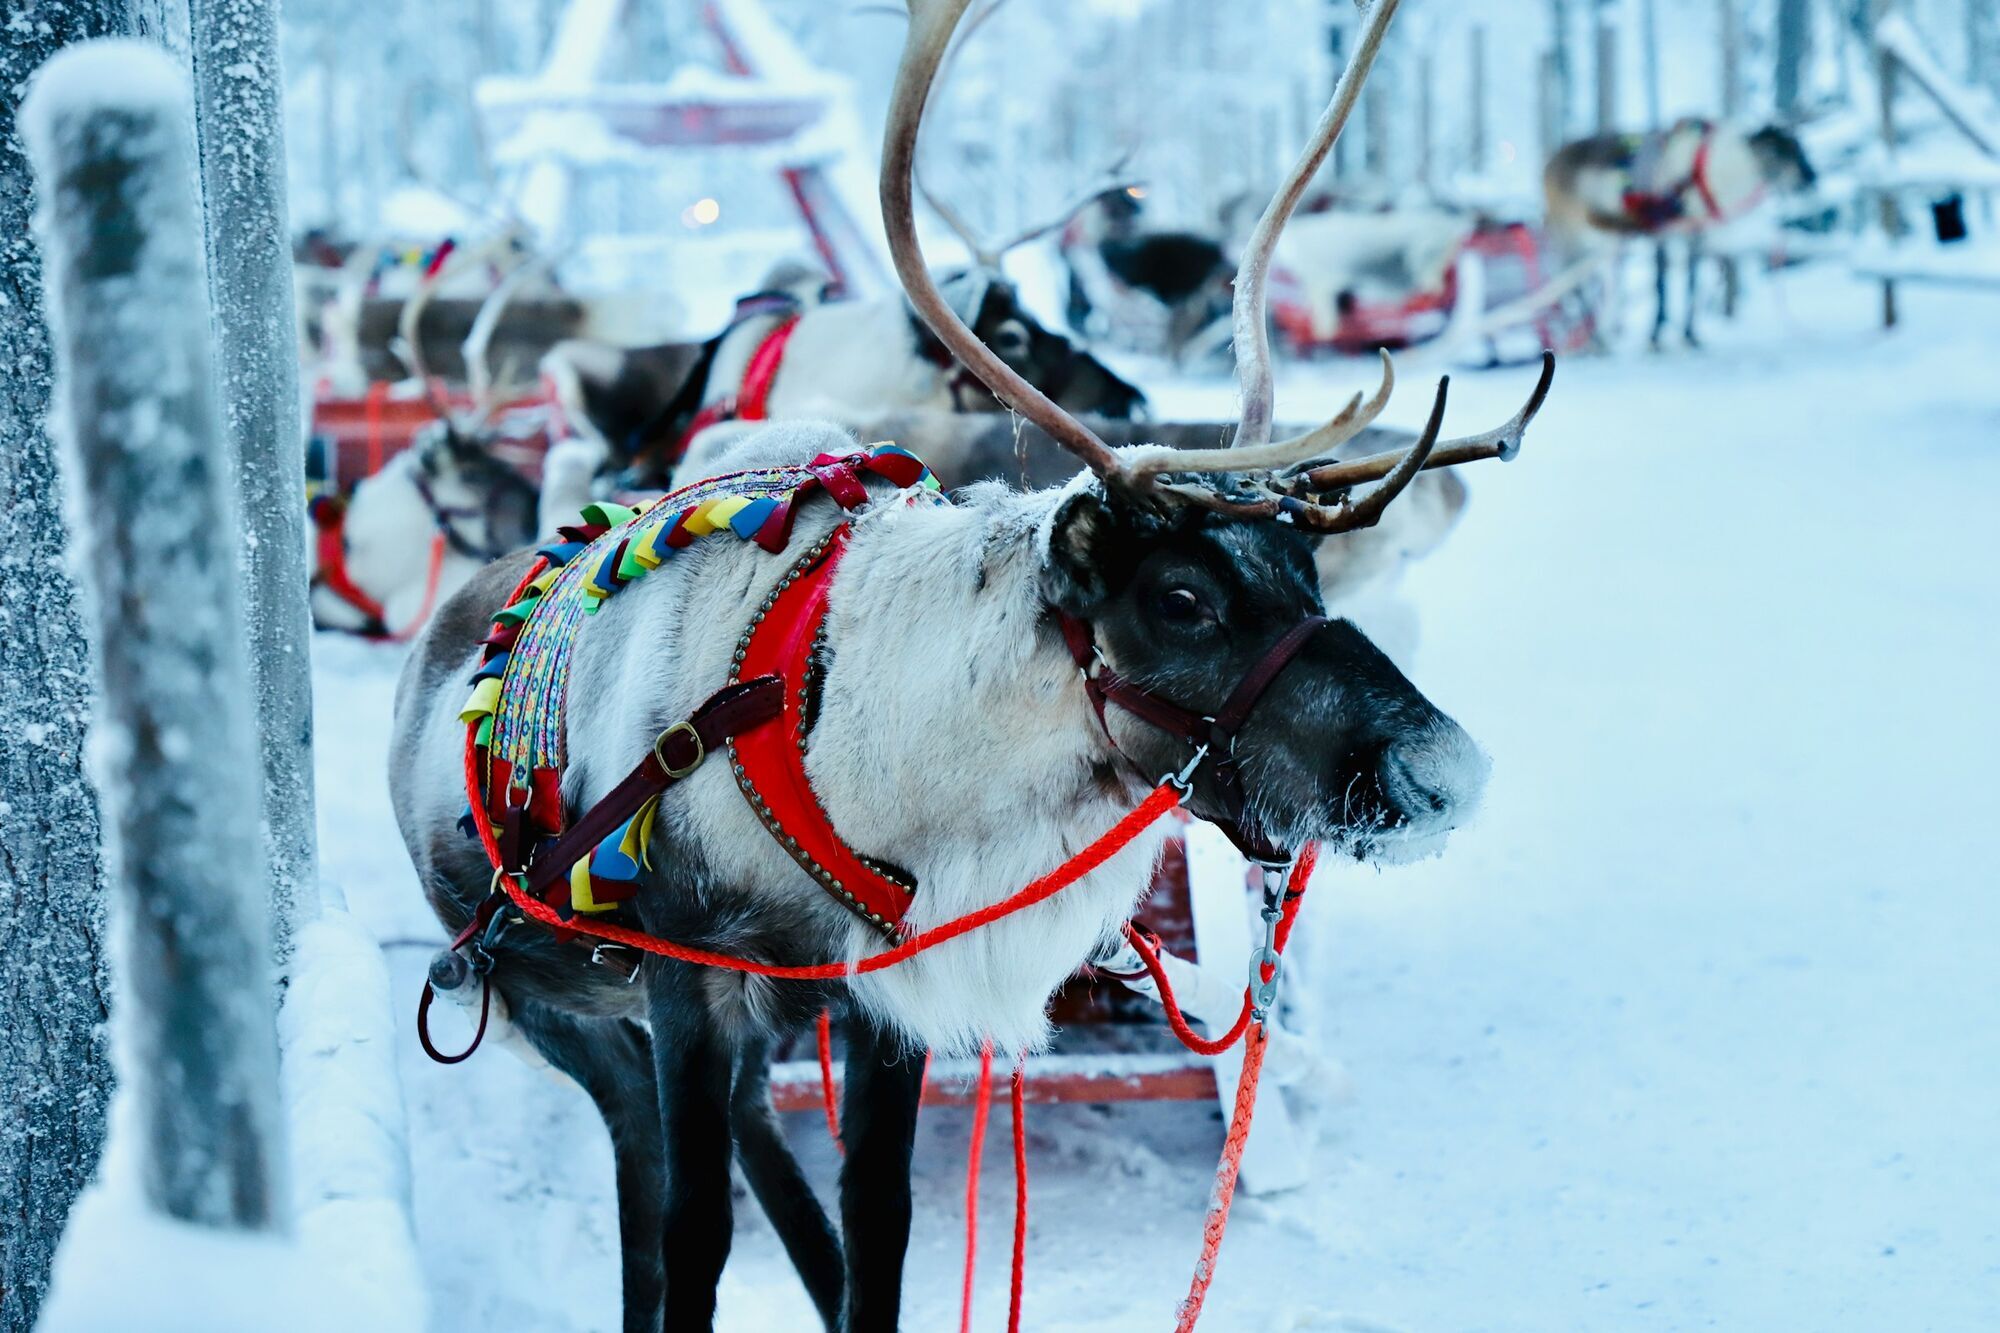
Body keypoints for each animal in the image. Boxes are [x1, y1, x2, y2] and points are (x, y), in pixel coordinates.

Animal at [388, 0, 1549, 1327]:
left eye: (1309, 577)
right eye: (1182, 597)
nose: (1441, 771)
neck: (853, 743)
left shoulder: (877, 996)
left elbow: (879, 1222)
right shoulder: (689, 984)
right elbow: (692, 1230)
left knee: (756, 1146)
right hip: (534, 992)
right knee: (645, 1154)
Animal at [1544, 117, 1816, 349]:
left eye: (1800, 147)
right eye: (1781, 150)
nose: (1812, 178)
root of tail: (1549, 163)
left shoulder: (1695, 235)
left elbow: (1691, 284)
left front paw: (1690, 335)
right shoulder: (1662, 234)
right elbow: (1661, 284)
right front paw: (1655, 336)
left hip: (1603, 243)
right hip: (1572, 234)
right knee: (1570, 284)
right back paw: (1595, 340)